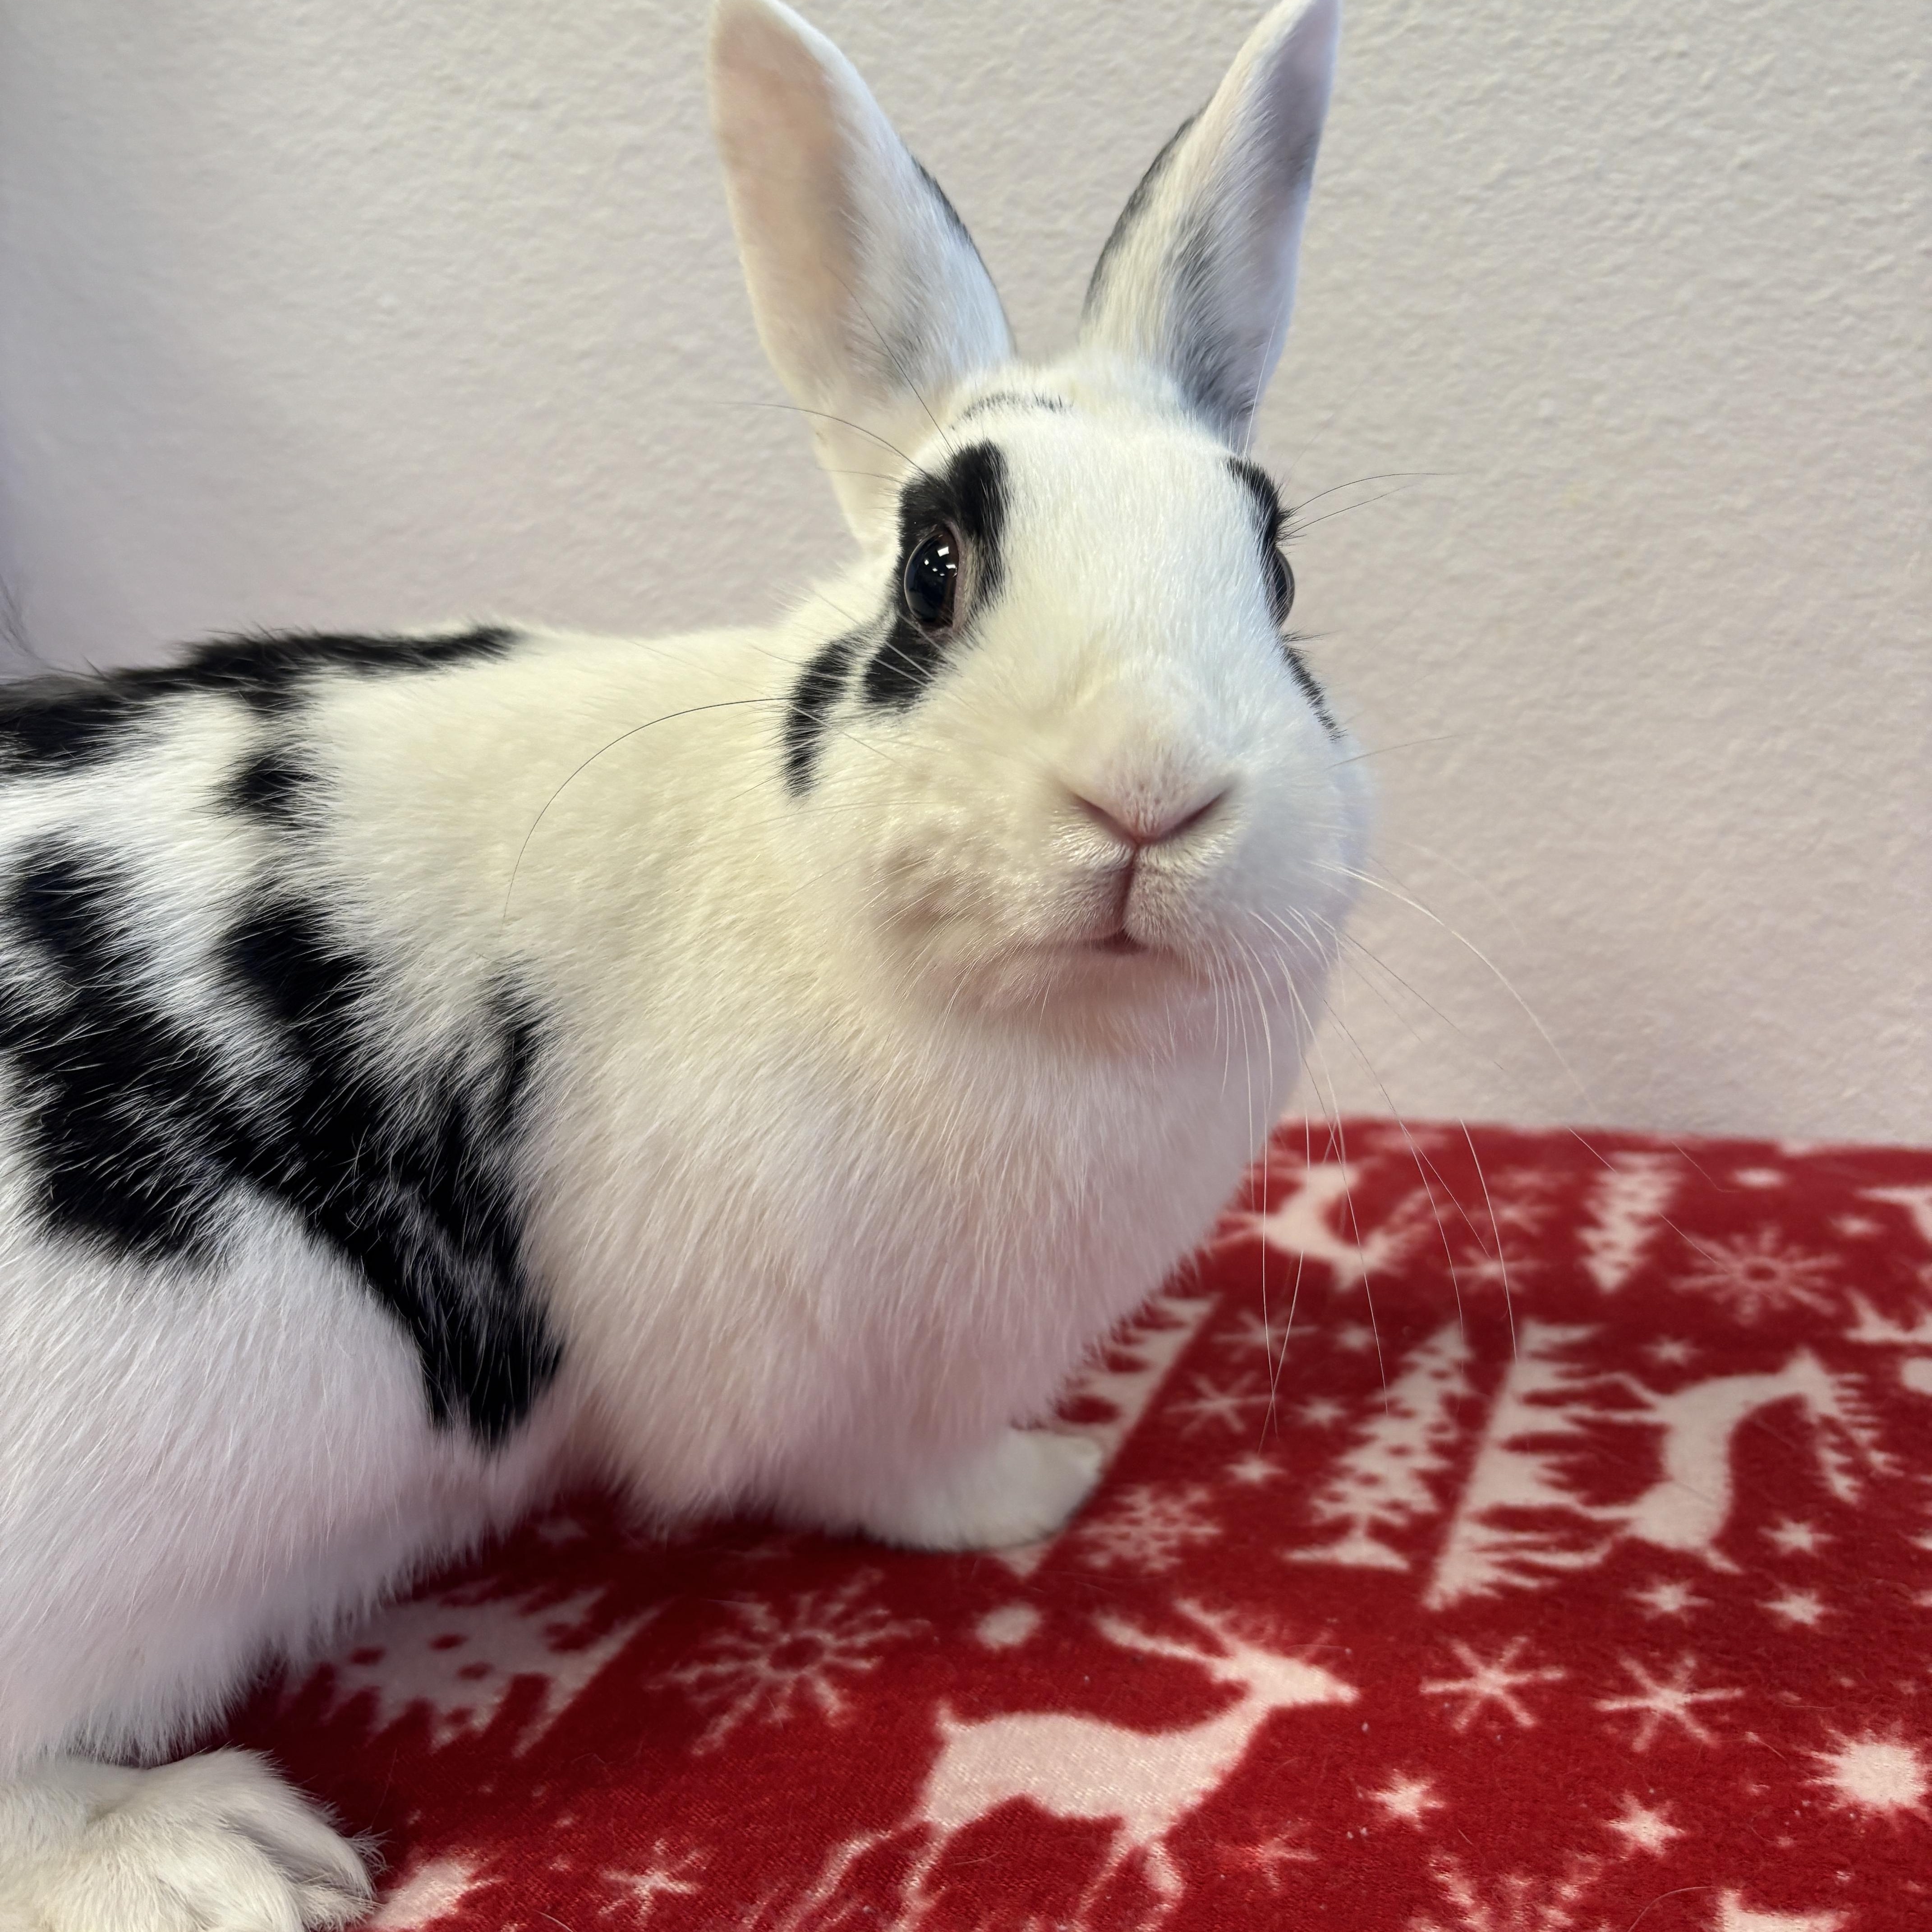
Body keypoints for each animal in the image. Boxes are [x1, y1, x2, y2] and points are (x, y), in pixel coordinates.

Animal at [0, 0, 1366, 1924]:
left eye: (1278, 570)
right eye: (933, 571)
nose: (1152, 793)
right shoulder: (857, 1372)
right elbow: (902, 1471)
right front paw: (1043, 1487)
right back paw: (217, 1854)